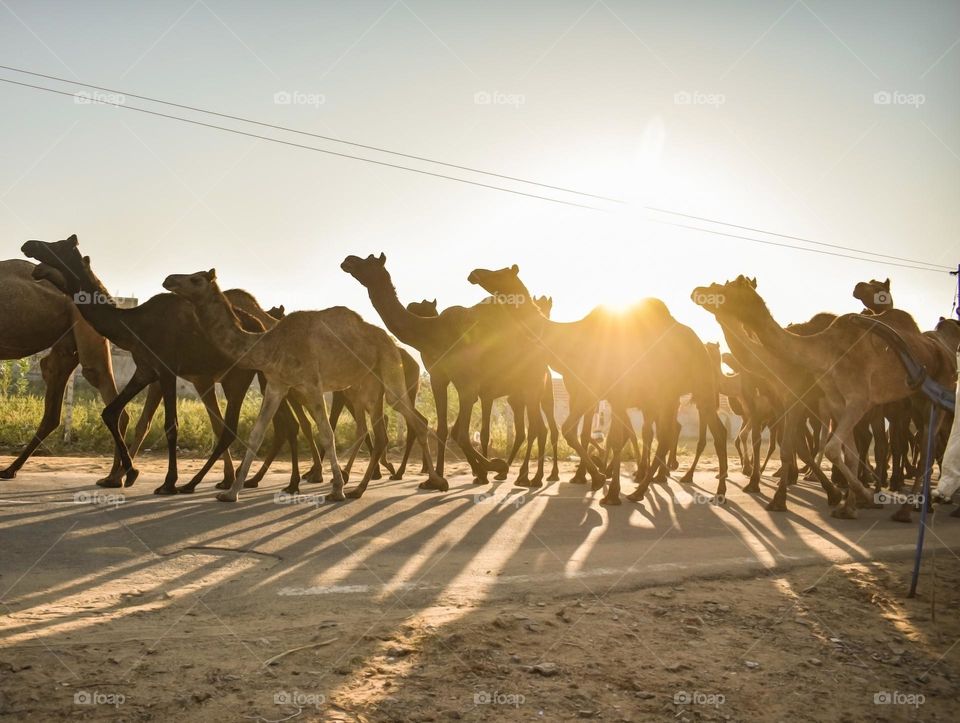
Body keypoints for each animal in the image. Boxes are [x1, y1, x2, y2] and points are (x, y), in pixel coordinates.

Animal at [163, 268, 448, 500]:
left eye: (195, 279)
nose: (168, 279)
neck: (270, 345)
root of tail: (388, 339)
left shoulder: (311, 383)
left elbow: (327, 432)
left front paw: (335, 488)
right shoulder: (277, 384)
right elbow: (257, 433)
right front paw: (231, 492)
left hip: (389, 372)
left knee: (411, 418)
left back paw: (435, 481)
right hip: (364, 385)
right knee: (378, 432)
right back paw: (360, 488)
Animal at [466, 264, 728, 506]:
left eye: (499, 272)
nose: (474, 273)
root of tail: (701, 345)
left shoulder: (605, 393)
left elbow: (600, 436)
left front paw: (605, 486)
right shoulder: (601, 394)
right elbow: (586, 433)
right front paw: (602, 481)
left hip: (699, 388)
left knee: (708, 431)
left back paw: (712, 489)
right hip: (665, 396)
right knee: (668, 434)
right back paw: (643, 489)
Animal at [688, 278, 952, 520]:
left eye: (724, 289)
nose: (697, 291)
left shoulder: (801, 398)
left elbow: (796, 447)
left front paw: (783, 497)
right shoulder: (788, 402)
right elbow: (803, 446)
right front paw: (837, 498)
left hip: (913, 405)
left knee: (909, 443)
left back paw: (903, 502)